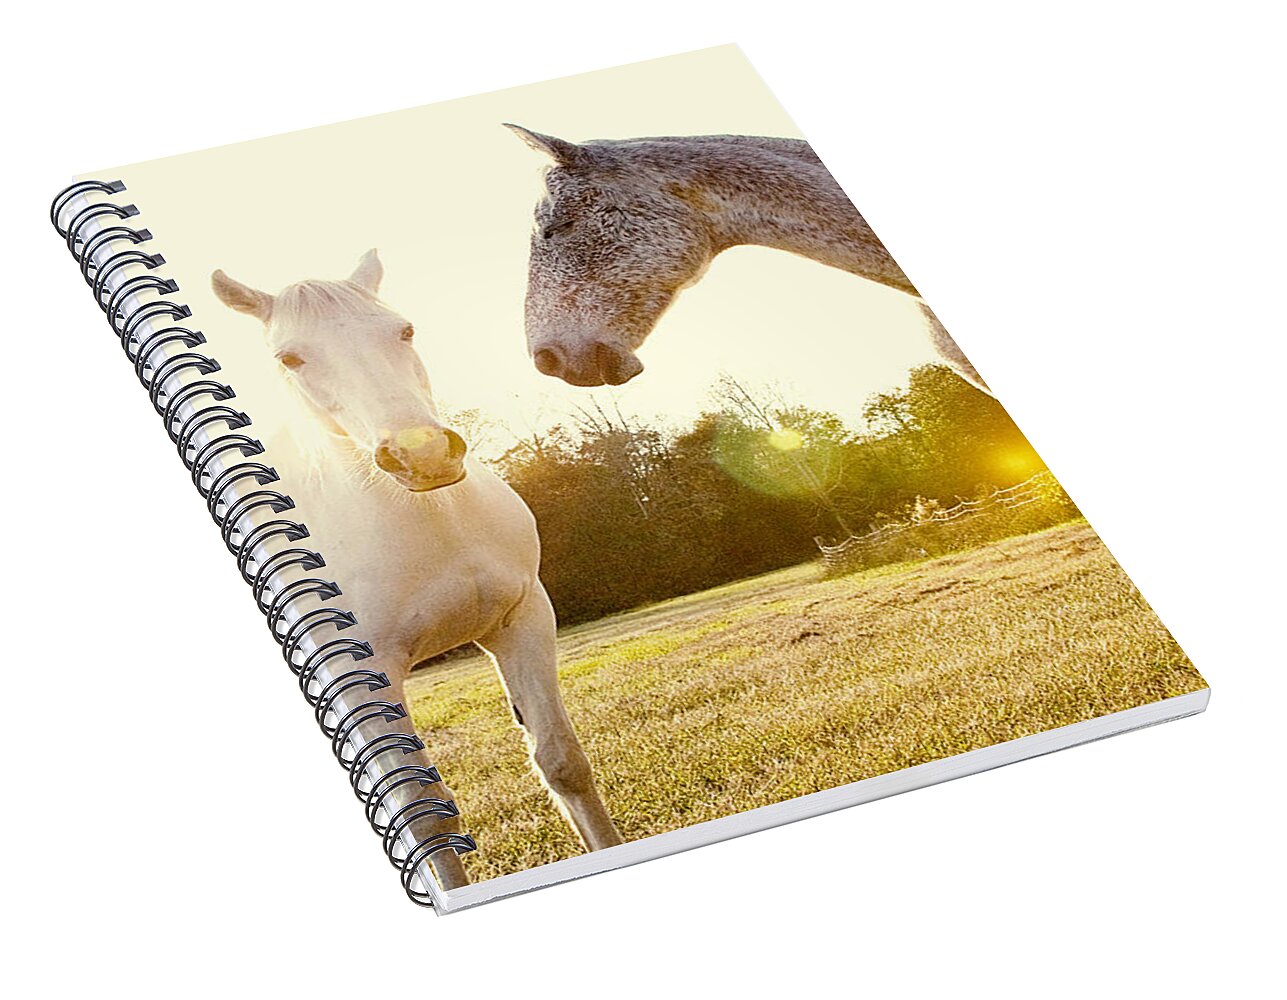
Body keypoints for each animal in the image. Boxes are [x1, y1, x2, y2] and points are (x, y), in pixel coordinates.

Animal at [211, 250, 623, 890]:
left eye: (403, 330)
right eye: (289, 358)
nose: (421, 453)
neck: (433, 521)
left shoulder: (521, 620)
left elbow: (563, 762)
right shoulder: (368, 681)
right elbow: (422, 819)